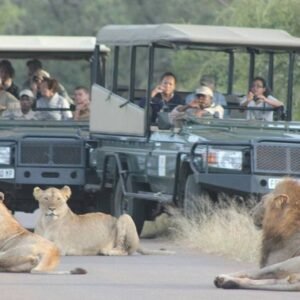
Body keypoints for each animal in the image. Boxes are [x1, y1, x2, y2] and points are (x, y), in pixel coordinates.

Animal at [33, 185, 173, 255]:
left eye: (59, 199)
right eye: (46, 198)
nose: (52, 209)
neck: (47, 223)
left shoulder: (60, 246)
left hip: (124, 217)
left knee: (125, 250)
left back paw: (106, 251)